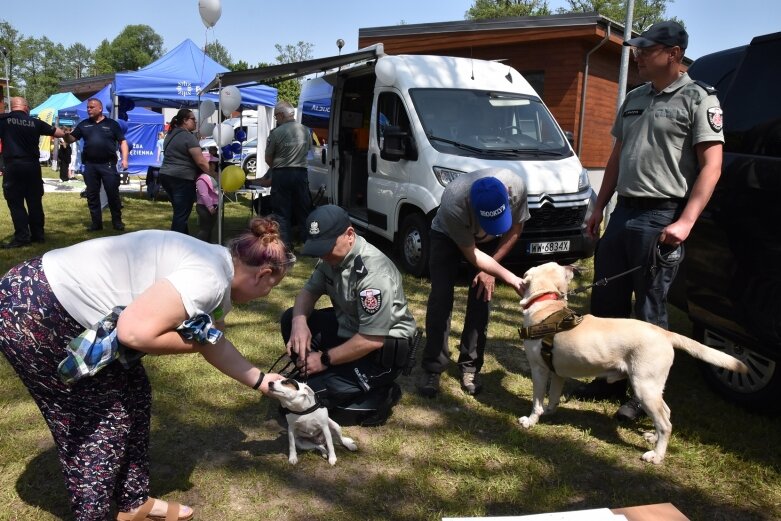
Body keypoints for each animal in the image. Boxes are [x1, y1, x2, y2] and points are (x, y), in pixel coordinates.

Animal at [516, 260, 748, 464]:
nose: (573, 266)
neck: (546, 304)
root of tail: (665, 333)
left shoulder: (539, 370)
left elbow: (537, 401)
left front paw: (531, 420)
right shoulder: (557, 373)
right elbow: (553, 397)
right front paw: (549, 412)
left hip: (644, 387)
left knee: (666, 423)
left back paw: (656, 456)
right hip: (654, 388)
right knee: (667, 413)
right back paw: (653, 438)